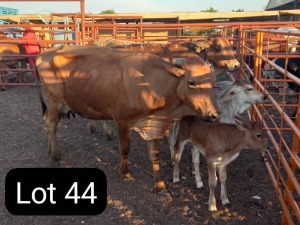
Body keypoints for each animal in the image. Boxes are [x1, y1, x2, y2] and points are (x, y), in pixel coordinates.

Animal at [35, 44, 220, 196]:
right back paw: (55, 153)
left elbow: (154, 154)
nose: (213, 115)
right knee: (50, 124)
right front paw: (125, 173)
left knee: (49, 123)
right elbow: (125, 149)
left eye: (213, 82)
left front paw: (160, 184)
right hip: (54, 102)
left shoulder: (152, 124)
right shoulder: (122, 121)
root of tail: (45, 53)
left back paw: (50, 150)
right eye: (191, 82)